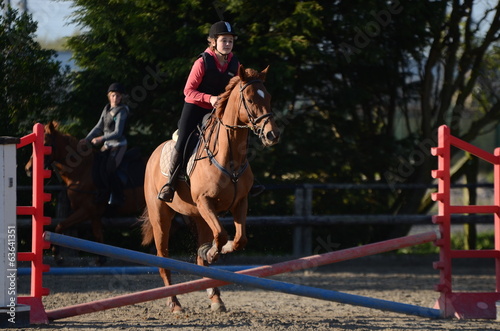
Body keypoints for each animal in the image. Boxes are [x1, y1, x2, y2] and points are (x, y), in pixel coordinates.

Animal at [25, 122, 146, 264]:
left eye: (46, 144)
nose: (28, 169)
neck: (81, 169)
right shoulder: (94, 215)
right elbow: (98, 236)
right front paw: (101, 260)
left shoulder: (86, 210)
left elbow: (60, 225)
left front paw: (57, 255)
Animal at [141, 65, 282, 314]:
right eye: (249, 99)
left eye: (269, 97)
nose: (272, 135)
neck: (230, 157)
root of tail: (155, 153)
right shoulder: (205, 202)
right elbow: (222, 234)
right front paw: (213, 250)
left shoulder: (240, 202)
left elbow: (239, 239)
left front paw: (217, 250)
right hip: (161, 216)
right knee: (163, 259)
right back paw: (175, 303)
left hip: (199, 217)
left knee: (201, 258)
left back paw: (215, 297)